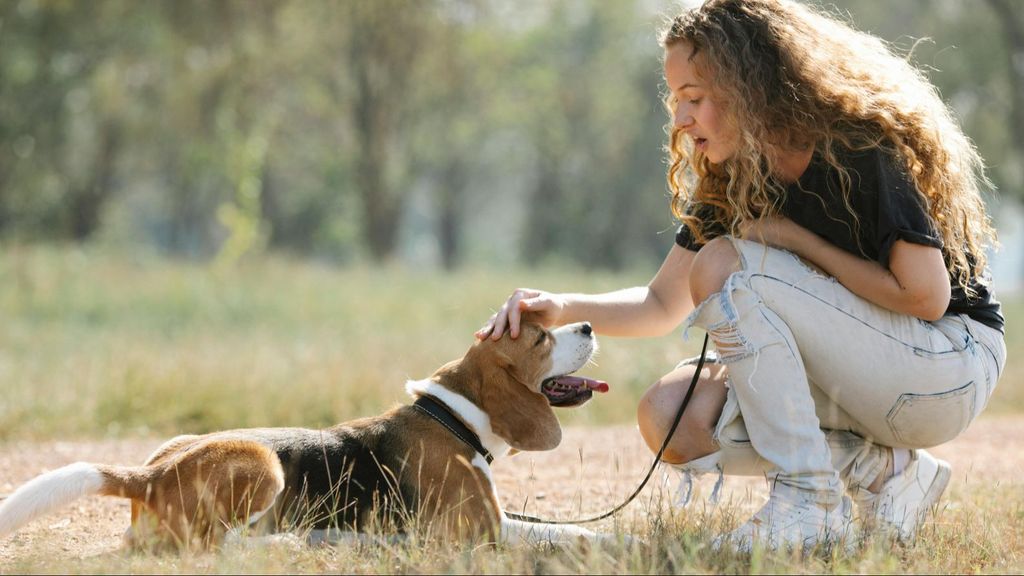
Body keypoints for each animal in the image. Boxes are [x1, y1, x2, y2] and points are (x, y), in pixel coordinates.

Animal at [0, 313, 614, 545]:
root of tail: (148, 476)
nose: (587, 323)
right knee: (216, 544)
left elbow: (571, 530)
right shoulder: (481, 530)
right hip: (261, 464)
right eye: (540, 338)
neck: (455, 416)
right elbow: (572, 534)